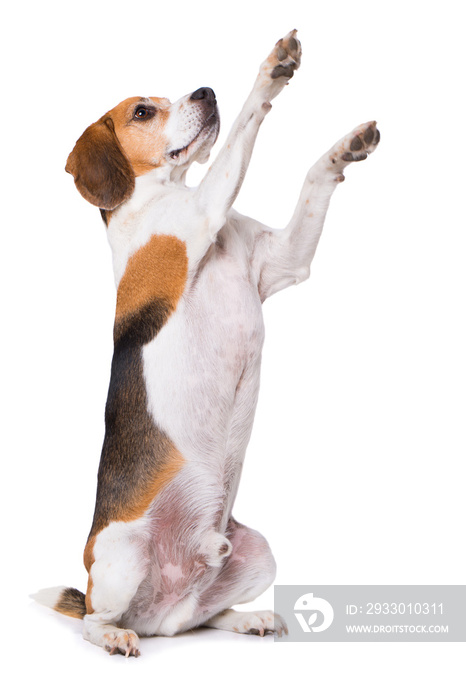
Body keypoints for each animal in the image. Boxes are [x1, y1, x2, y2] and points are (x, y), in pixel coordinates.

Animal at [35, 31, 378, 656]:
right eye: (142, 111)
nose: (205, 91)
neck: (162, 195)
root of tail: (155, 610)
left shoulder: (284, 259)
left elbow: (312, 179)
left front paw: (346, 148)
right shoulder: (204, 211)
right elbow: (245, 125)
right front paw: (271, 70)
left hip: (256, 552)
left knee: (196, 618)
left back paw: (245, 619)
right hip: (119, 556)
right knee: (97, 619)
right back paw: (114, 635)